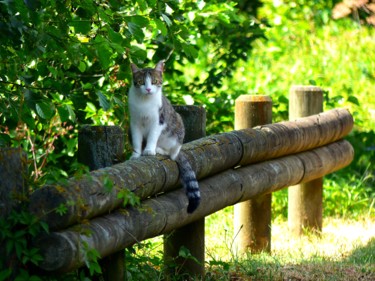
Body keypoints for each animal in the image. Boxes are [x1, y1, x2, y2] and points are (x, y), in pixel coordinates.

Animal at [129, 59, 201, 212]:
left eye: (154, 81)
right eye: (141, 82)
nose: (148, 89)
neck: (144, 102)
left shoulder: (158, 120)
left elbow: (152, 136)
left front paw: (149, 150)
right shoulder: (134, 122)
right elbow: (137, 140)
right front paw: (136, 154)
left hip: (178, 125)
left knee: (171, 153)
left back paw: (159, 149)